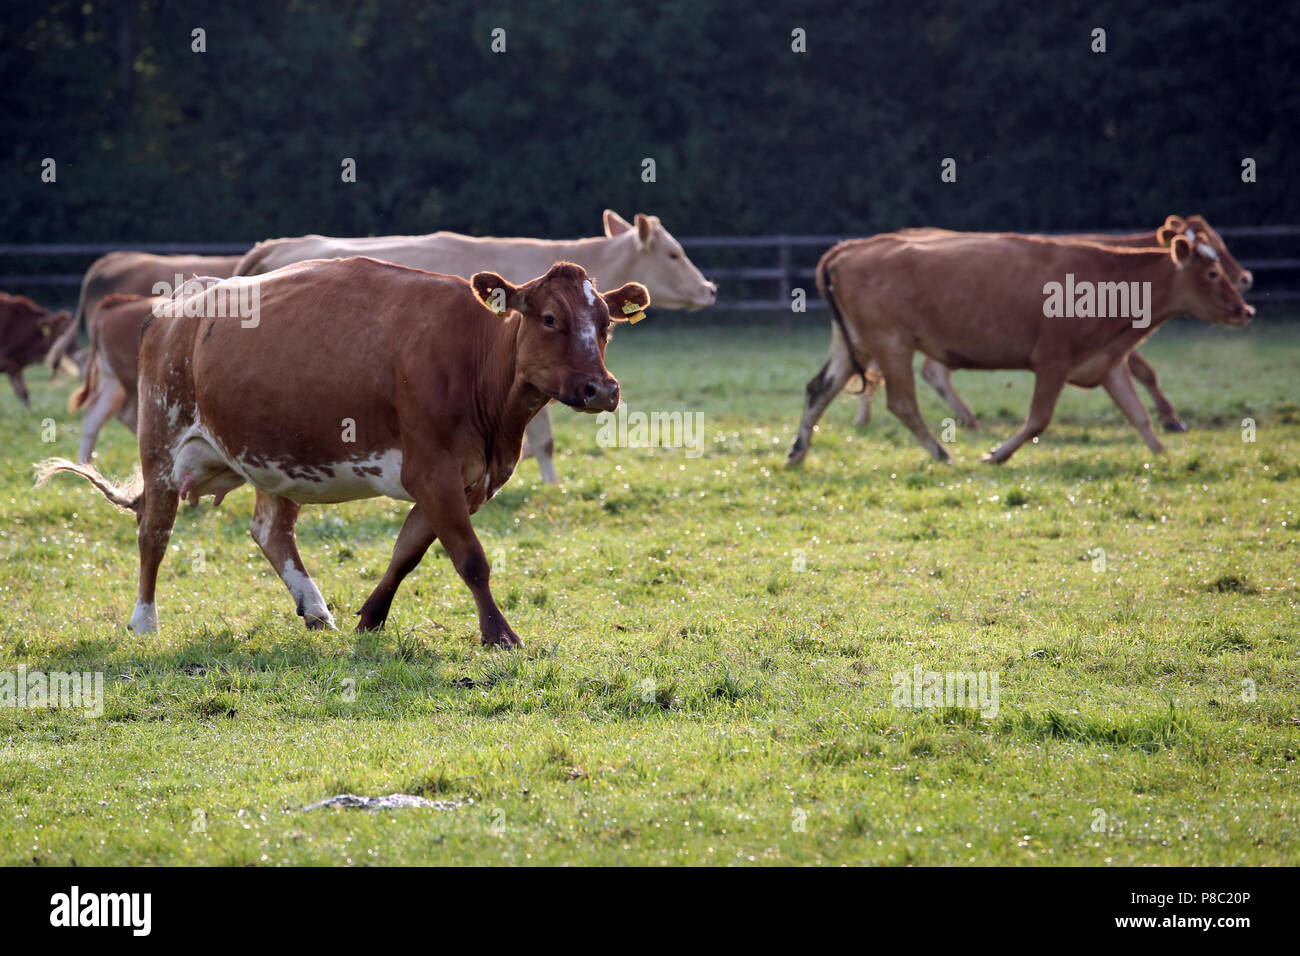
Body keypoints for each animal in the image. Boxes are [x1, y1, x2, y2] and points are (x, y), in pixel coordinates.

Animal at [38, 257, 647, 647]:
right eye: (550, 318)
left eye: (606, 324)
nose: (602, 389)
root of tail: (179, 302)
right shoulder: (433, 471)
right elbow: (471, 559)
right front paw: (499, 633)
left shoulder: (466, 482)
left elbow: (407, 552)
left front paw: (370, 617)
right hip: (162, 443)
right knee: (154, 533)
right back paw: (144, 621)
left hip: (273, 459)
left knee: (270, 531)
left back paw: (315, 609)